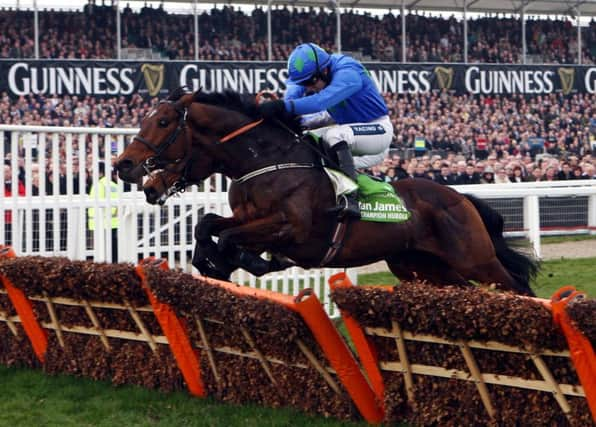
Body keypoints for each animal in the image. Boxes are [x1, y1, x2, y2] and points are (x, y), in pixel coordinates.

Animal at [116, 88, 540, 296]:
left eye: (163, 122)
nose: (124, 165)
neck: (268, 161)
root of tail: (461, 198)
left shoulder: (291, 229)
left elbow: (232, 238)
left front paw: (232, 262)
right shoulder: (249, 217)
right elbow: (208, 224)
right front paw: (209, 260)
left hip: (474, 259)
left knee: (517, 286)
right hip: (421, 267)